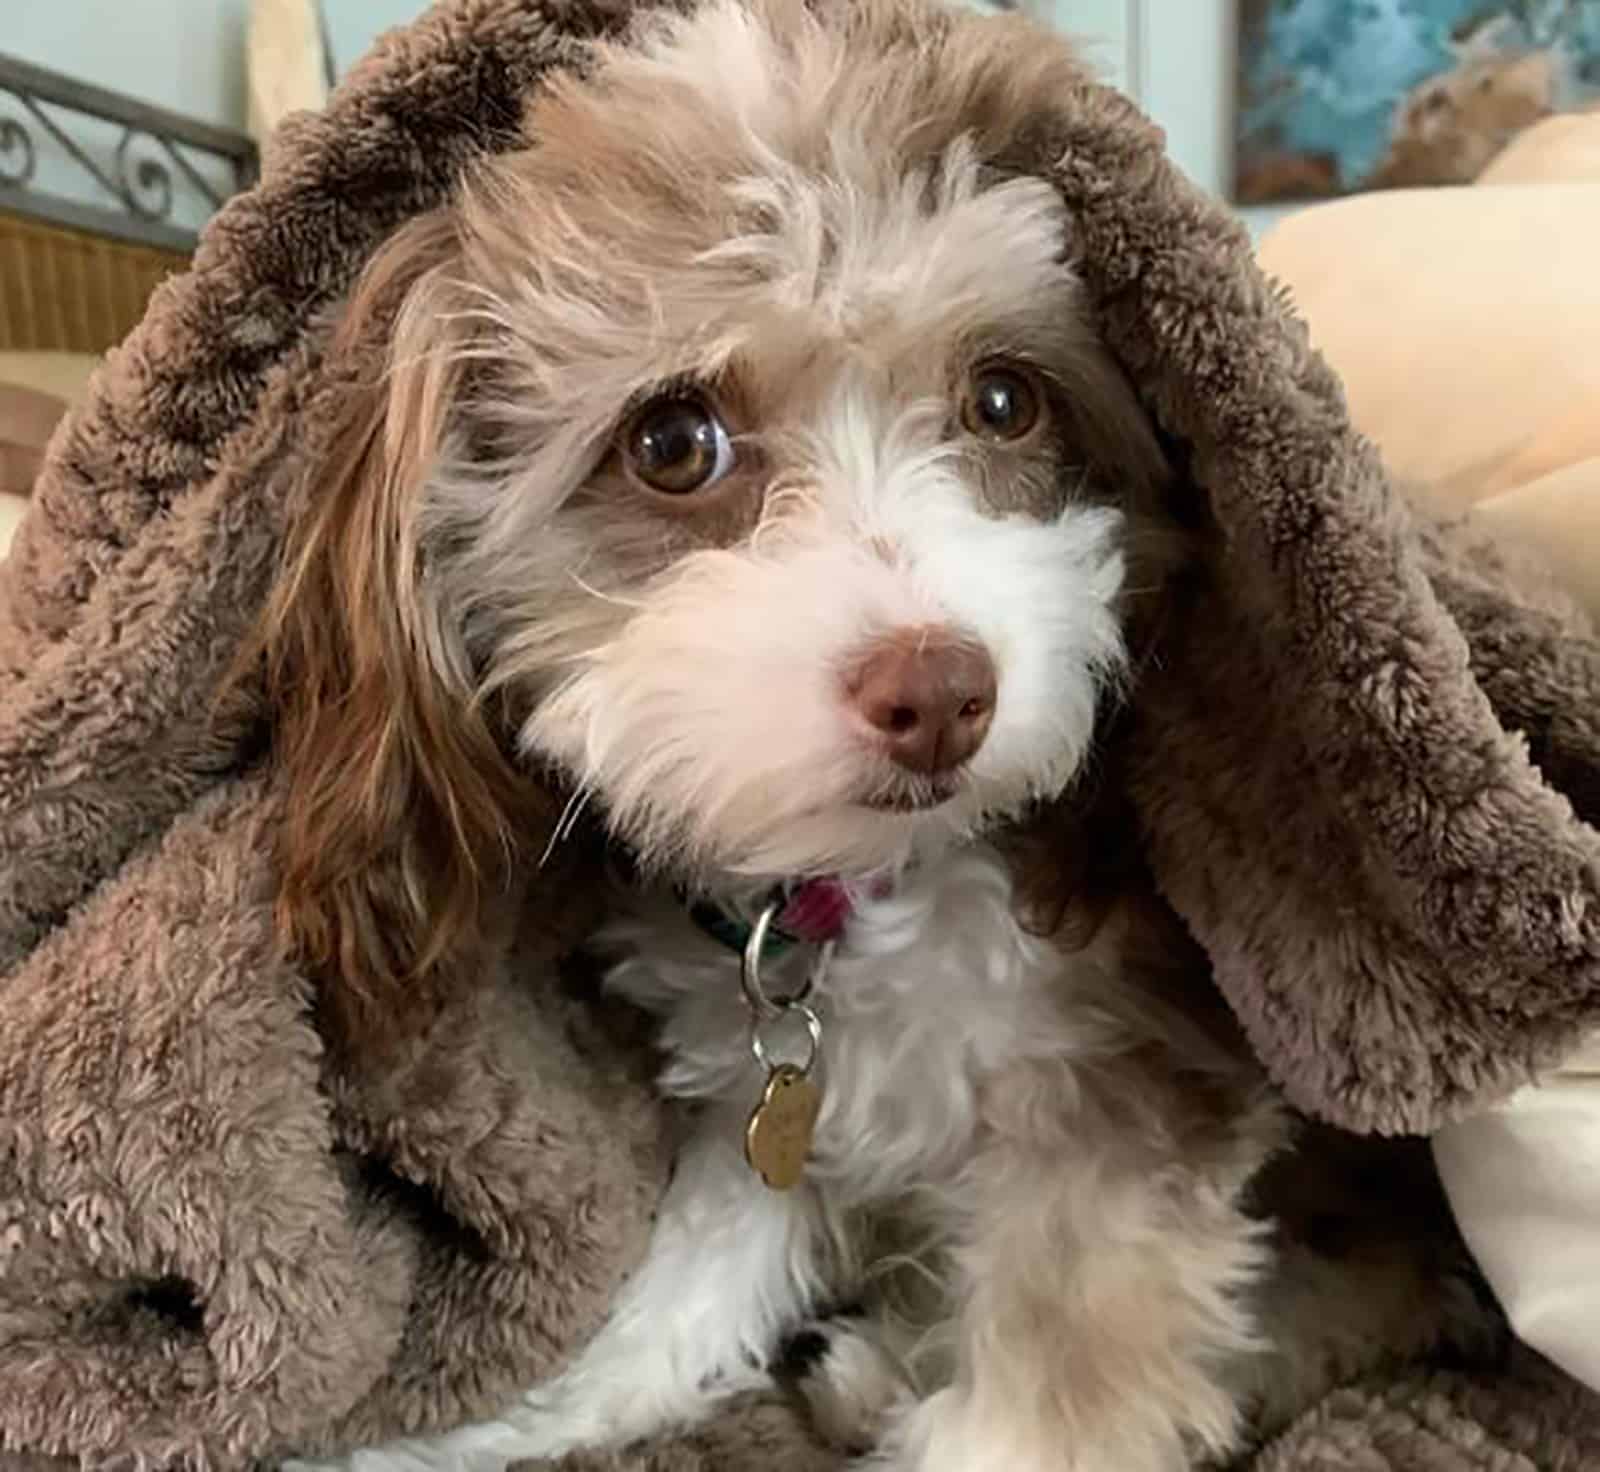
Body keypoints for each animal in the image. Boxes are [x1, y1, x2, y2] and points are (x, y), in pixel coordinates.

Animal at [265, 2, 1497, 1472]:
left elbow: (1054, 1387)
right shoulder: (766, 1094)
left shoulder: (1131, 1088)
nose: (942, 689)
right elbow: (684, 1290)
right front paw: (487, 1419)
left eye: (1008, 400)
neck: (864, 909)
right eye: (670, 441)